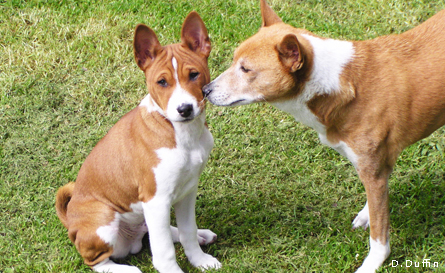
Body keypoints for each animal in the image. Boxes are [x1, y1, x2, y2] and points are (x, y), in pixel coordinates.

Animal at [56, 11, 222, 272]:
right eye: (162, 82)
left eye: (194, 74)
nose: (184, 109)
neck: (181, 133)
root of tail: (70, 221)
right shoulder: (156, 199)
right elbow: (164, 251)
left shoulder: (187, 190)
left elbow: (187, 231)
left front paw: (200, 259)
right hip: (105, 219)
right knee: (96, 260)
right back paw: (127, 269)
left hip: (145, 214)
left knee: (156, 232)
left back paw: (202, 235)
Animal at [202, 1, 444, 270]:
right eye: (234, 61)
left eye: (246, 69)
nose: (204, 90)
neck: (341, 84)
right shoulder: (378, 165)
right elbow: (376, 206)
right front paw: (366, 215)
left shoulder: (373, 170)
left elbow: (380, 235)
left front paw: (372, 264)